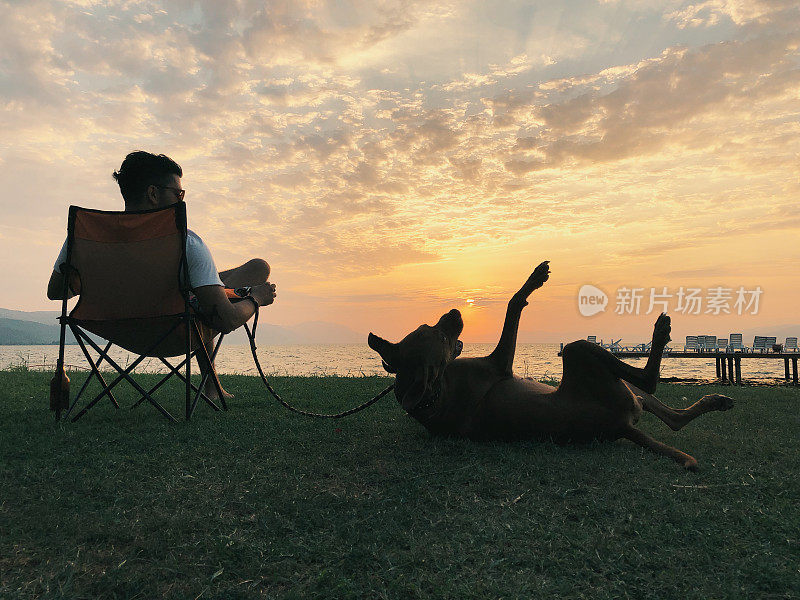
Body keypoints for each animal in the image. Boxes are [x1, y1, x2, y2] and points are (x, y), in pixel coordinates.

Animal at [368, 260, 732, 472]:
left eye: (428, 327)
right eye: (438, 334)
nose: (456, 312)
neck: (433, 393)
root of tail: (619, 427)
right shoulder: (499, 362)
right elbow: (514, 303)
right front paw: (534, 278)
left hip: (623, 386)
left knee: (671, 417)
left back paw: (715, 400)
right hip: (580, 353)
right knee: (649, 380)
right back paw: (661, 332)